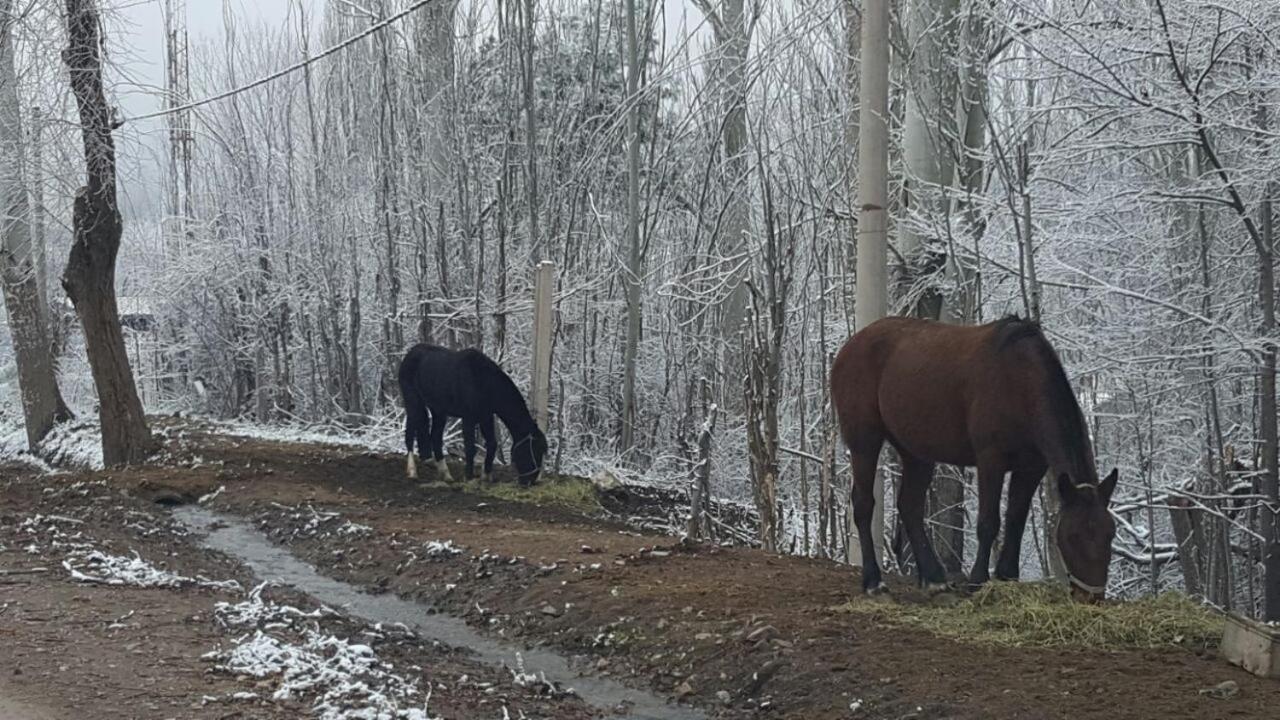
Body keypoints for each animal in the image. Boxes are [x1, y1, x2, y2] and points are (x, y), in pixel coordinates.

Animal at [394, 340, 545, 481]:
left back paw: (446, 474)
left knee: (435, 437)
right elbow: (470, 448)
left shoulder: (486, 417)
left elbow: (492, 443)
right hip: (414, 403)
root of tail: (410, 353)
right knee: (409, 434)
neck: (482, 381)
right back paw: (413, 471)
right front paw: (469, 477)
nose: (530, 481)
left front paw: (486, 475)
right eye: (533, 450)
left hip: (438, 411)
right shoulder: (469, 418)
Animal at [829, 313, 1121, 599]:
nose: (1092, 596)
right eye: (1073, 535)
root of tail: (850, 346)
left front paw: (1007, 576)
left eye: (1111, 533)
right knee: (864, 504)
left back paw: (934, 578)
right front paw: (978, 580)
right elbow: (989, 522)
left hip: (916, 452)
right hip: (864, 442)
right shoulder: (990, 460)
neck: (1019, 379)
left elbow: (1016, 519)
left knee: (909, 506)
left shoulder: (1031, 468)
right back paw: (873, 581)